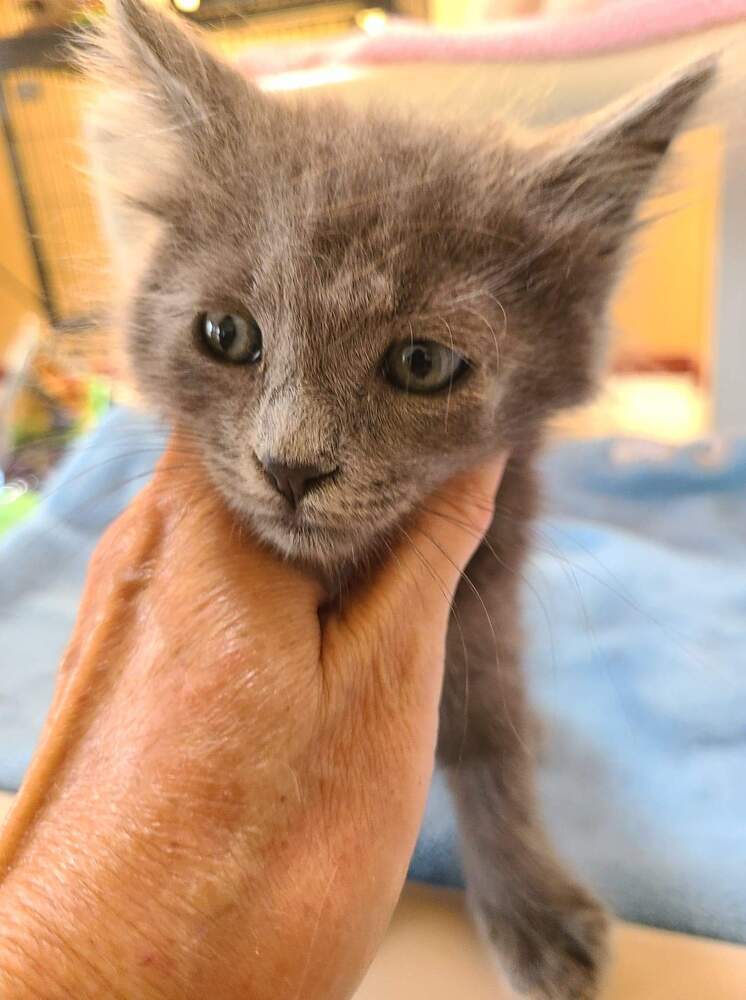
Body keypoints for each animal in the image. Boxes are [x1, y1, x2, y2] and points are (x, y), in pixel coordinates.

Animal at [84, 3, 712, 996]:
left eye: (422, 363)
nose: (291, 467)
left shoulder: (486, 597)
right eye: (225, 334)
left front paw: (530, 900)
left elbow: (493, 742)